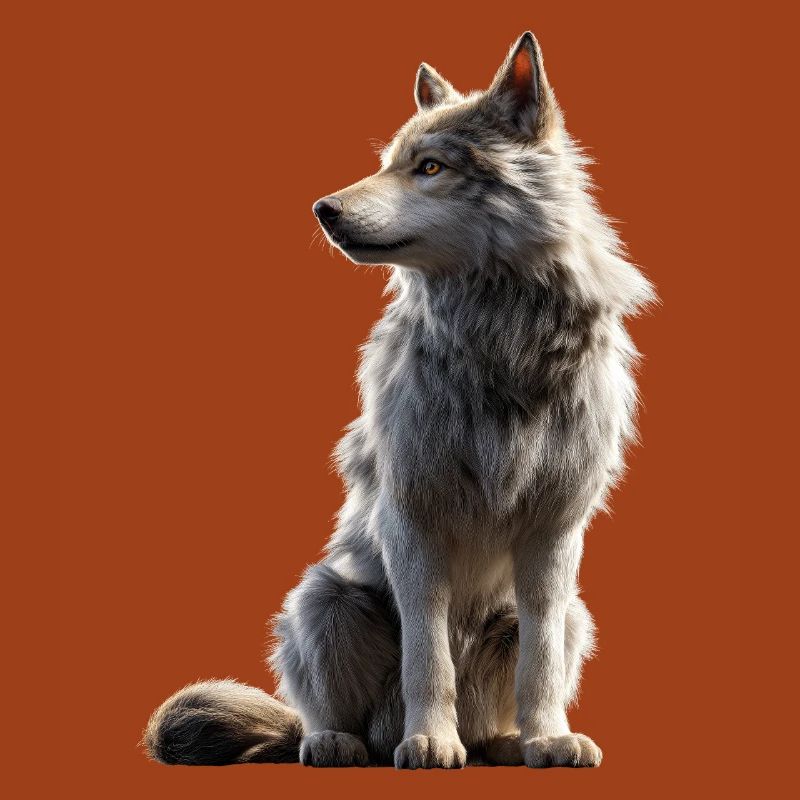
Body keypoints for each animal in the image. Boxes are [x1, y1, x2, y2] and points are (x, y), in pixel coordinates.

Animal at [144, 31, 654, 769]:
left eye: (430, 167)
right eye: (389, 164)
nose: (323, 210)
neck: (499, 340)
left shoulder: (556, 531)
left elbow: (540, 664)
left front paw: (549, 738)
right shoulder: (412, 521)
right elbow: (427, 655)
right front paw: (430, 741)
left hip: (573, 615)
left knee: (520, 681)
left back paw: (504, 742)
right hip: (325, 599)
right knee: (327, 715)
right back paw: (342, 742)